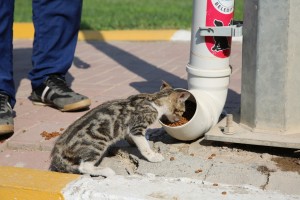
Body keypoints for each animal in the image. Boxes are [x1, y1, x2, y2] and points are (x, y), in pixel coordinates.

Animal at [49, 81, 190, 177]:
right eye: (182, 111)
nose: (178, 120)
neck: (154, 100)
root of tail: (58, 147)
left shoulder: (131, 129)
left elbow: (132, 137)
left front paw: (134, 142)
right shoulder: (137, 127)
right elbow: (144, 146)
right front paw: (153, 156)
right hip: (98, 143)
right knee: (84, 167)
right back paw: (107, 171)